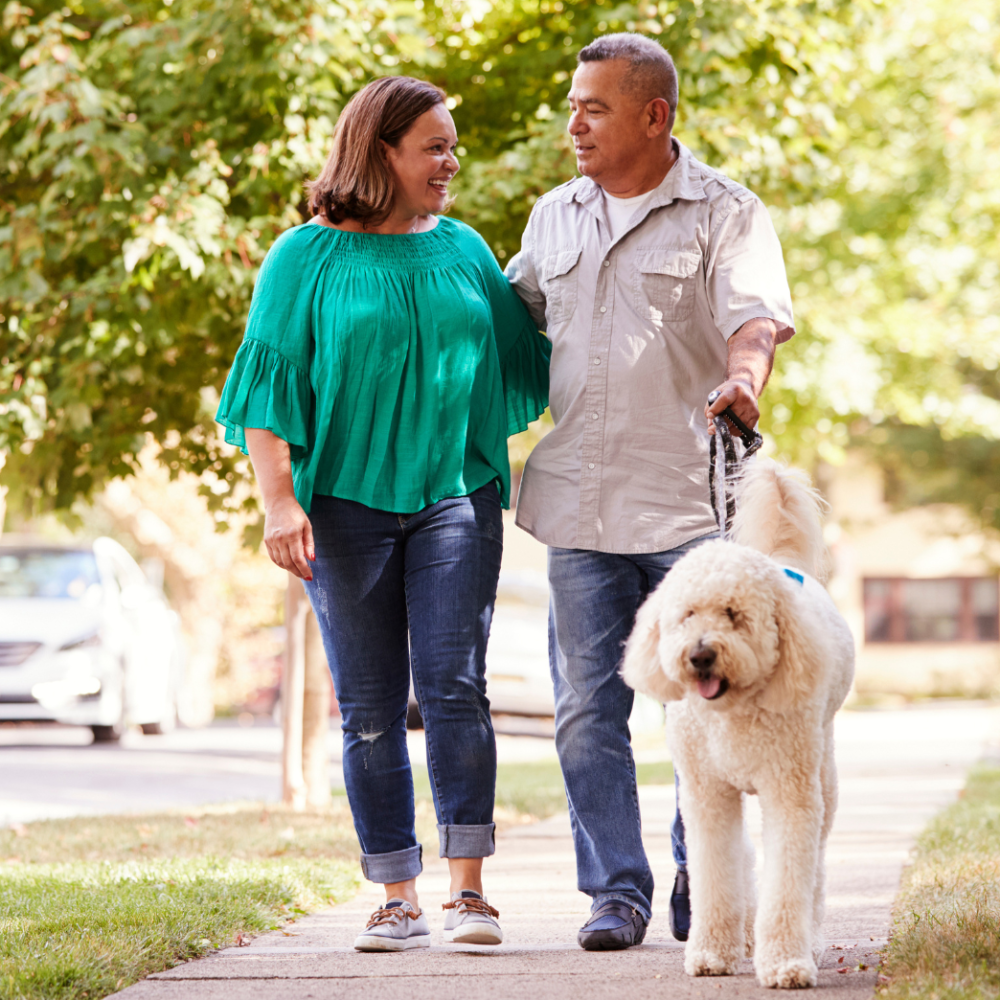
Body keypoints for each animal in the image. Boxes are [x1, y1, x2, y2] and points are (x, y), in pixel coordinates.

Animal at [620, 458, 856, 984]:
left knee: (816, 868)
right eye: (687, 614)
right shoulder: (708, 796)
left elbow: (788, 880)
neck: (732, 711)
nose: (700, 655)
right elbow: (717, 873)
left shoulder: (789, 793)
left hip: (823, 775)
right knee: (746, 856)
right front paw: (712, 952)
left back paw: (808, 938)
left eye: (734, 614)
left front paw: (787, 962)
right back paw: (746, 935)